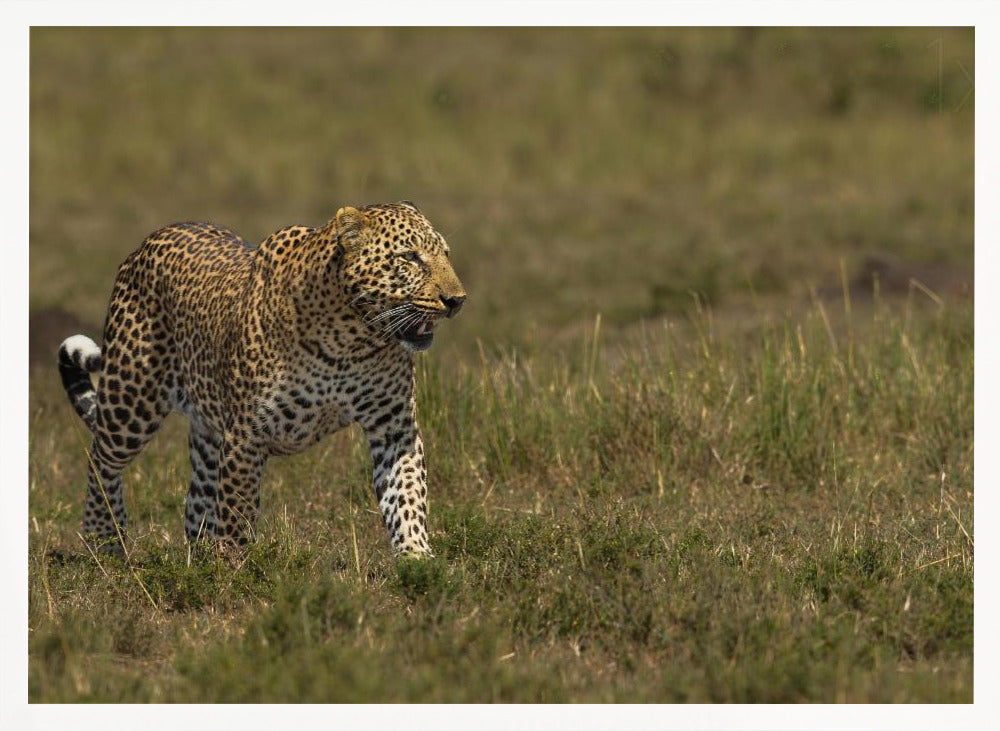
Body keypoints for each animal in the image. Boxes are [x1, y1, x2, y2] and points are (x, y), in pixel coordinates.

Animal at [58, 201, 466, 558]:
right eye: (410, 257)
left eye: (446, 254)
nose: (456, 300)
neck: (351, 338)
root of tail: (146, 242)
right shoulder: (246, 435)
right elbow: (237, 512)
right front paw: (235, 571)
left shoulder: (394, 427)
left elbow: (406, 493)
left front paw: (416, 558)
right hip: (132, 400)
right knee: (101, 459)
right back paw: (105, 541)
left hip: (208, 429)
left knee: (195, 502)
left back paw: (198, 558)